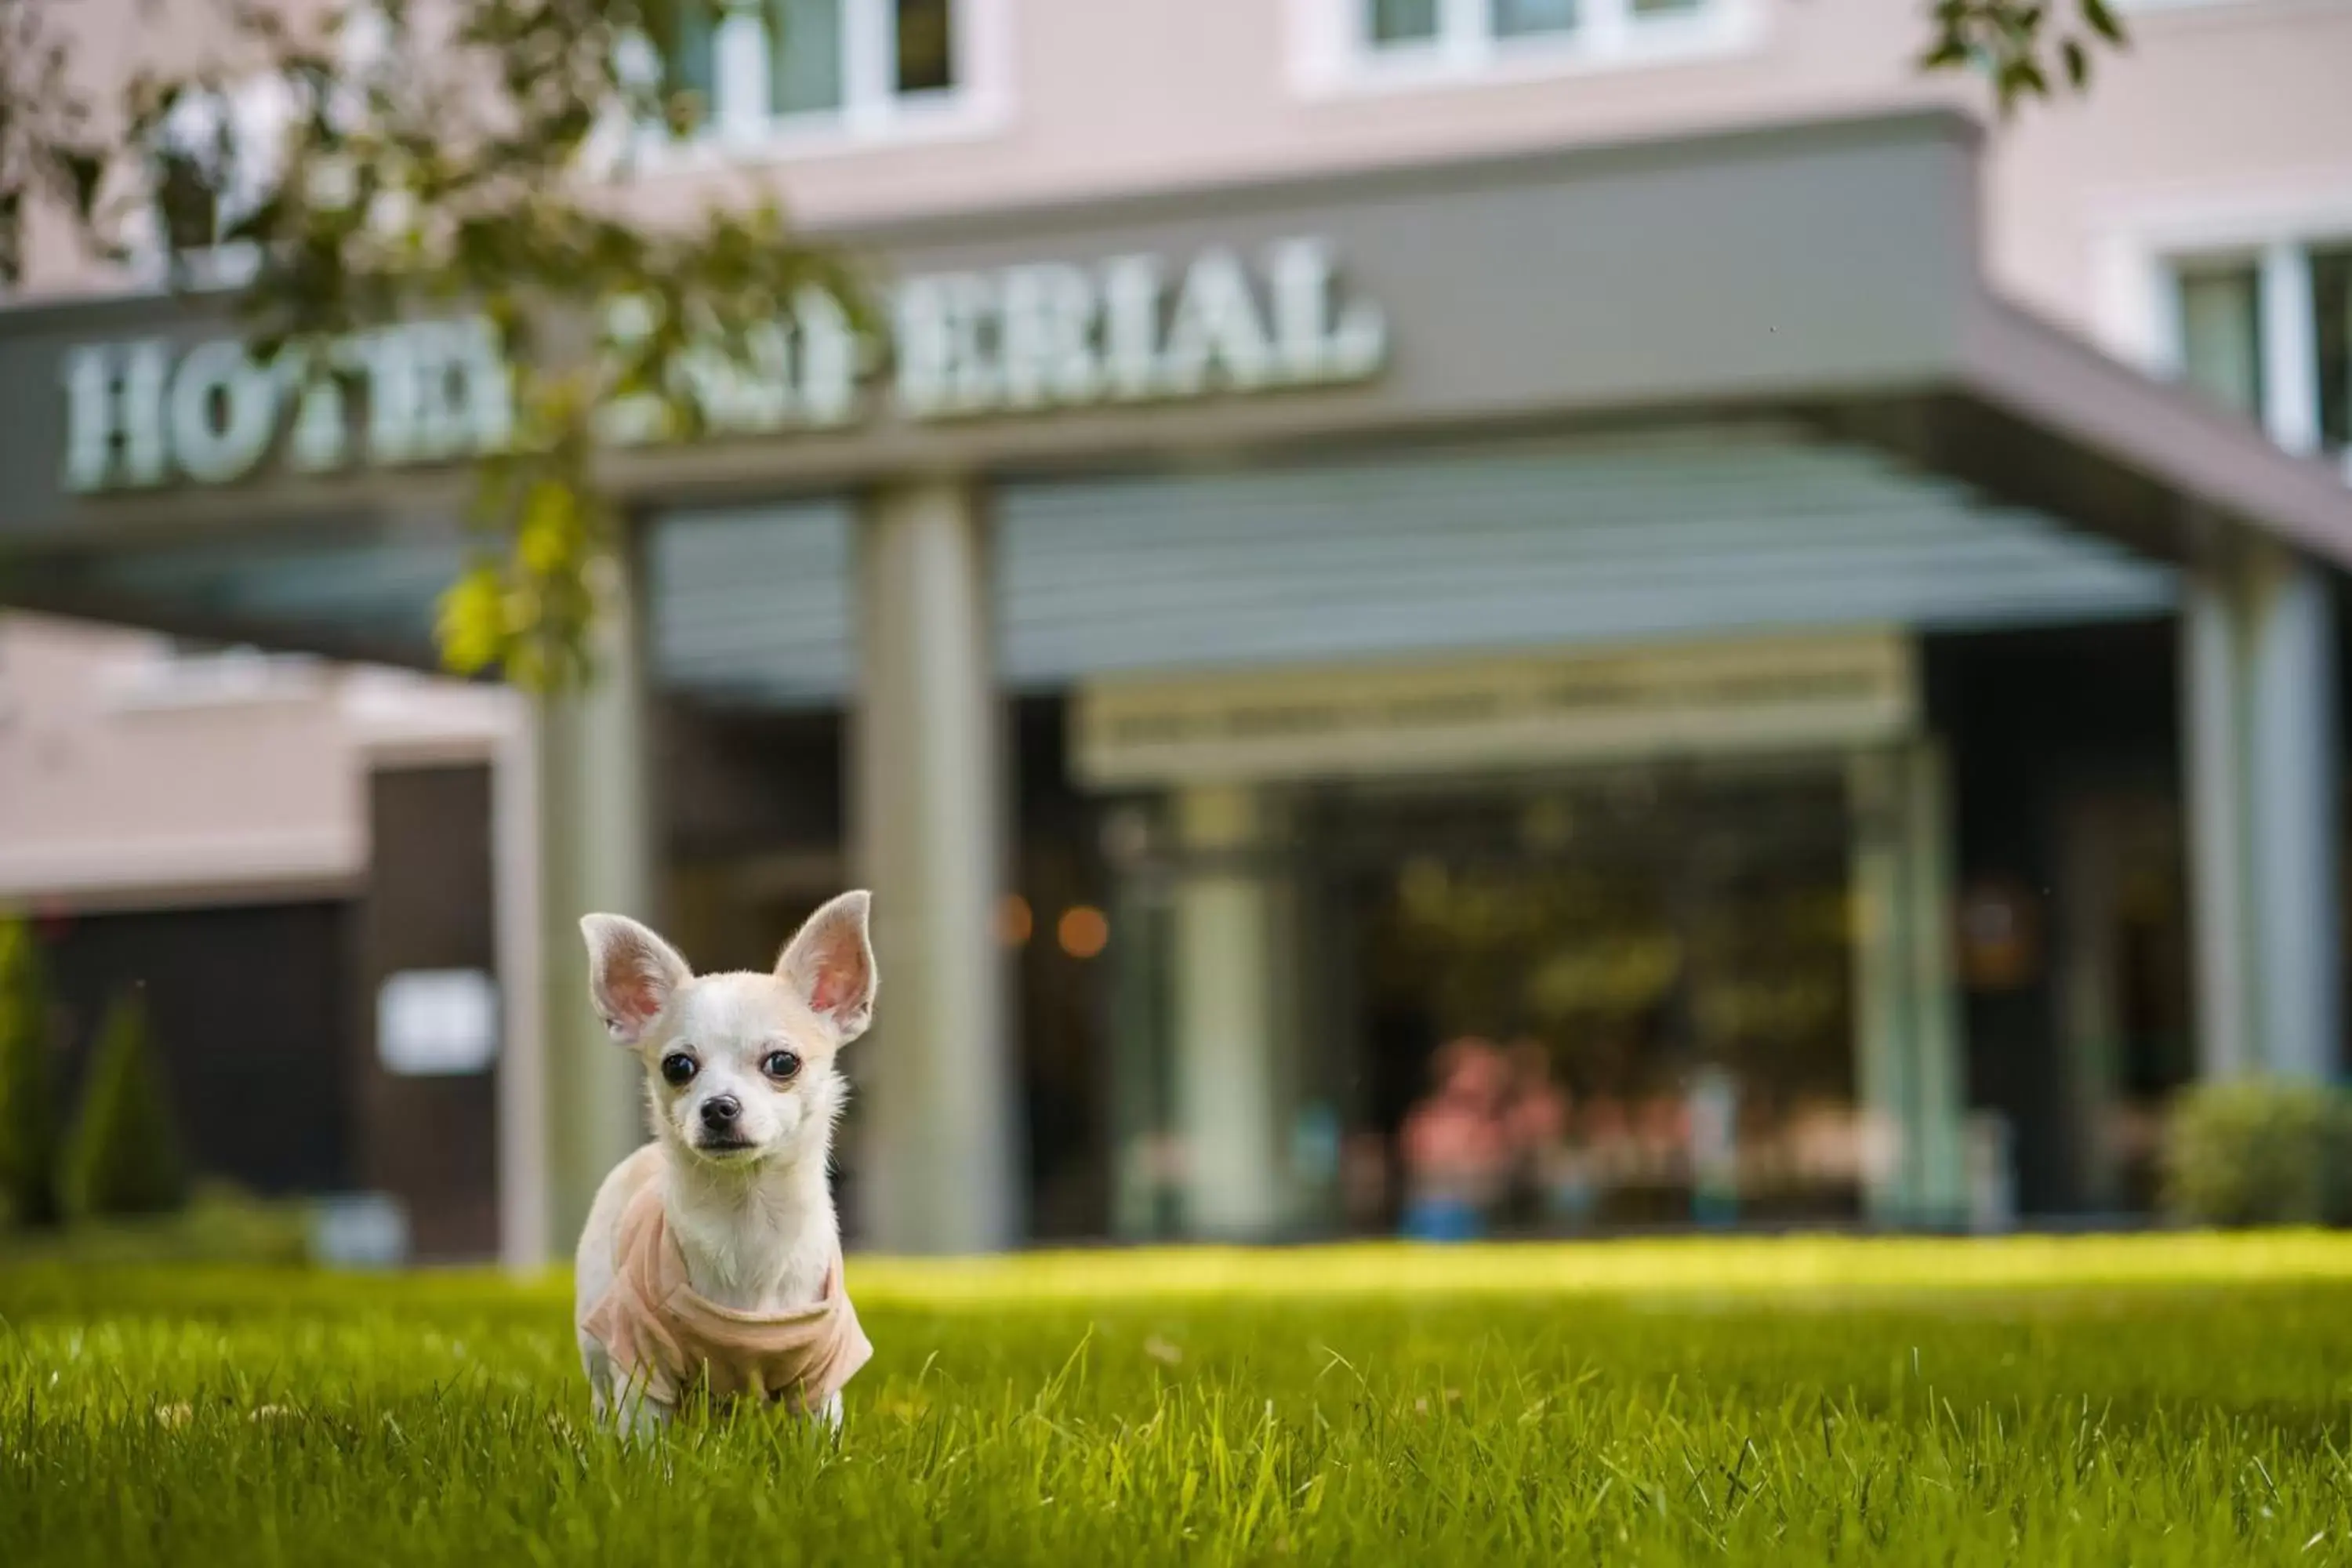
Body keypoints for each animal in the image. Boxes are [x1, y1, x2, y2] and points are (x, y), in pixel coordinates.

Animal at [574, 893, 880, 1439]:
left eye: (783, 1063)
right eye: (677, 1067)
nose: (718, 1107)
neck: (747, 1216)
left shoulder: (822, 1372)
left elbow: (820, 1436)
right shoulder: (640, 1356)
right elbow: (646, 1438)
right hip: (598, 1330)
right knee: (603, 1397)